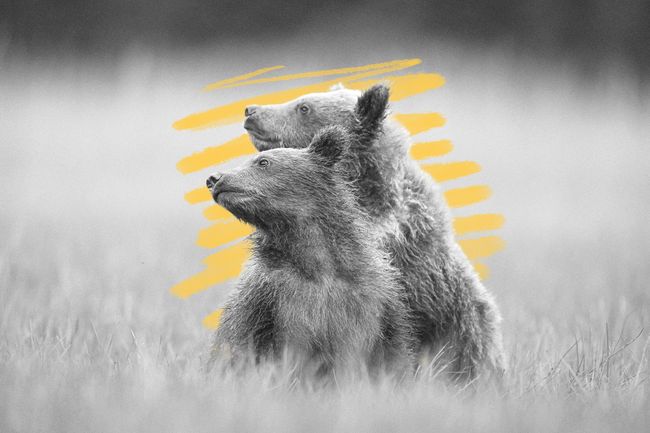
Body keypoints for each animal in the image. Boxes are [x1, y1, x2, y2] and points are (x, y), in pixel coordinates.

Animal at [205, 102, 414, 380]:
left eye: (263, 161)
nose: (215, 178)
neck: (316, 262)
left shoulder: (375, 301)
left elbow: (391, 353)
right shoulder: (269, 299)